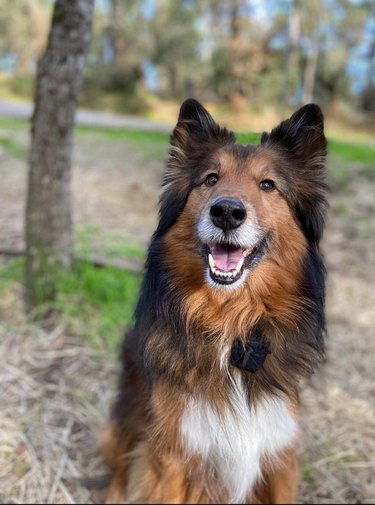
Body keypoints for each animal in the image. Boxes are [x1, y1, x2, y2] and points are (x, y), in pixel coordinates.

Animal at [103, 99, 328, 504]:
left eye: (268, 185)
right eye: (210, 179)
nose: (226, 212)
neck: (231, 323)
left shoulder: (278, 451)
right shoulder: (172, 456)